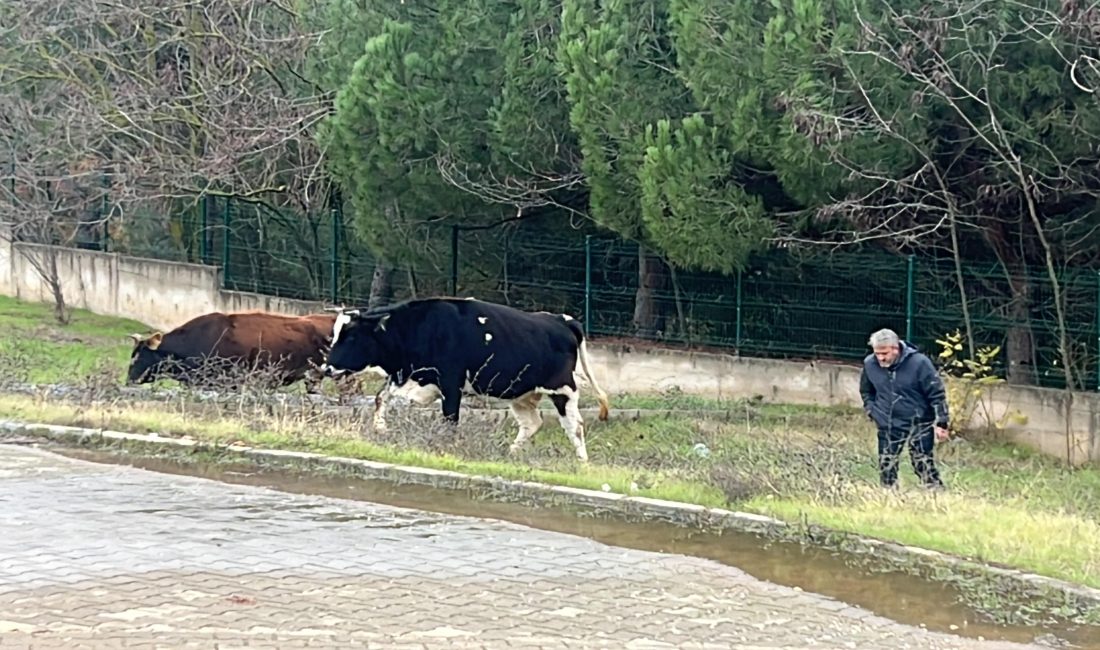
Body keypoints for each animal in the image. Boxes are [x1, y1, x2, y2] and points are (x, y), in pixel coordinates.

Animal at [321, 296, 611, 459]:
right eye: (335, 334)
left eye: (352, 337)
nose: (328, 368)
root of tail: (562, 320)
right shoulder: (408, 378)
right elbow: (382, 399)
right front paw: (381, 428)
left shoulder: (451, 384)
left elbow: (450, 419)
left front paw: (445, 447)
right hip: (523, 394)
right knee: (532, 423)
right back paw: (511, 453)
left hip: (563, 389)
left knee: (574, 426)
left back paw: (582, 462)